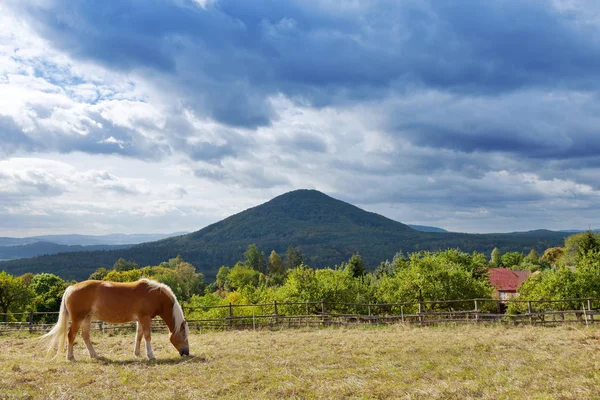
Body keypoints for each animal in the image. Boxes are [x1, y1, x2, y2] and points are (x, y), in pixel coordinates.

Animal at [42, 278, 189, 362]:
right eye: (183, 335)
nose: (186, 353)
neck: (153, 295)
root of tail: (70, 288)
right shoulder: (145, 318)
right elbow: (147, 336)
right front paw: (151, 355)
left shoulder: (140, 320)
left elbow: (139, 336)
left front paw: (137, 353)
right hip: (78, 318)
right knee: (71, 335)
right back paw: (71, 357)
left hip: (87, 318)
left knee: (85, 336)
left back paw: (94, 355)